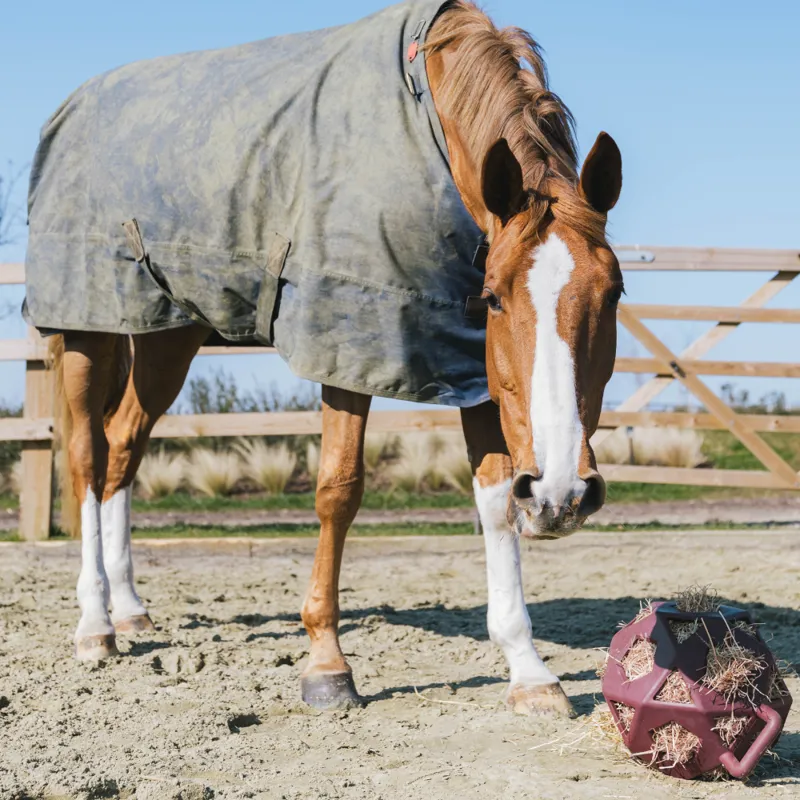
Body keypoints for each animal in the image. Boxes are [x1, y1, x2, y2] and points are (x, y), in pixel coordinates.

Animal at [28, 0, 622, 717]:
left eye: (615, 292)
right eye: (496, 298)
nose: (564, 496)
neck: (424, 119)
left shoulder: (470, 362)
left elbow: (496, 496)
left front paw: (528, 670)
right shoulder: (347, 340)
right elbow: (338, 490)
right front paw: (326, 664)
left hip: (169, 338)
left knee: (122, 448)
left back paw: (130, 609)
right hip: (86, 329)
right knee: (88, 457)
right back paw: (95, 625)